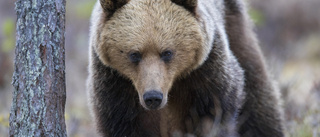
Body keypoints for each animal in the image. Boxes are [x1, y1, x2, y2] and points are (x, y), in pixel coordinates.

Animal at [86, 0, 284, 135]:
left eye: (167, 52)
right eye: (134, 54)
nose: (153, 97)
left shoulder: (205, 74)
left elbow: (214, 114)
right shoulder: (116, 86)